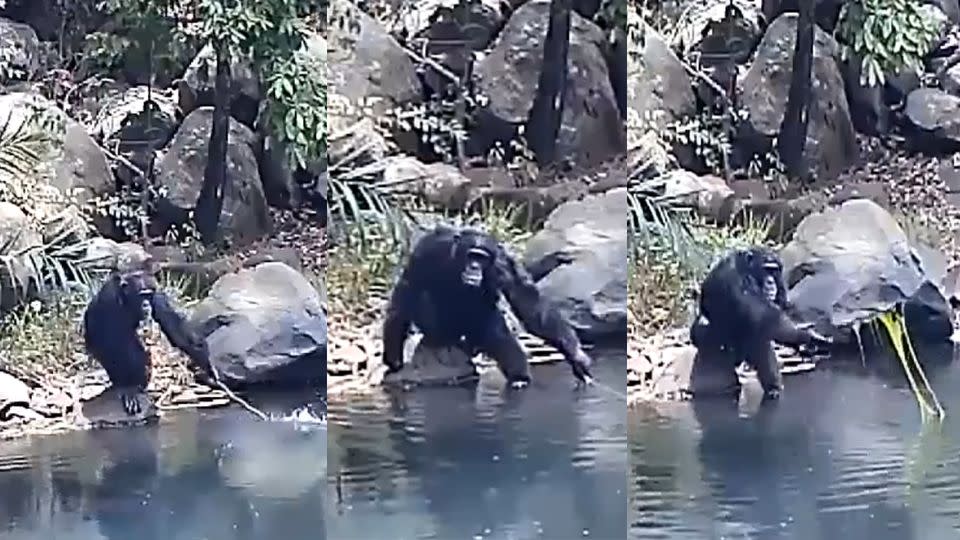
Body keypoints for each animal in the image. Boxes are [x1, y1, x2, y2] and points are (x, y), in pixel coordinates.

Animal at [83, 266, 217, 414]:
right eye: (141, 295)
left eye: (148, 295)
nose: (146, 304)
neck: (125, 298)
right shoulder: (108, 300)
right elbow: (115, 340)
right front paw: (129, 387)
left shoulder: (158, 298)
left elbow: (177, 331)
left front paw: (209, 370)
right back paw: (127, 385)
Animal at [382, 225, 592, 388]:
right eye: (471, 256)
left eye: (481, 258)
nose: (474, 267)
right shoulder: (428, 250)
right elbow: (408, 288)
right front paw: (393, 359)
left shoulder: (504, 264)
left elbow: (528, 300)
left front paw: (576, 357)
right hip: (442, 329)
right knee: (423, 297)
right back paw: (438, 340)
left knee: (497, 333)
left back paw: (518, 377)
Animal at [688, 247, 832, 398]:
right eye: (766, 269)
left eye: (774, 271)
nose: (771, 282)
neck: (747, 269)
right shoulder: (733, 278)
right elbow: (765, 318)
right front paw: (808, 335)